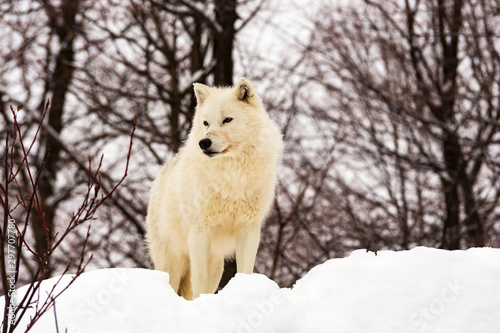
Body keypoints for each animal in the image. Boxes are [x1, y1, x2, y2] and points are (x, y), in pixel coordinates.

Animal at [146, 77, 284, 298]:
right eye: (206, 123)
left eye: (227, 119)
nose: (204, 142)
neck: (233, 175)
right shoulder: (200, 231)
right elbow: (199, 282)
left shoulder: (249, 229)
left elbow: (245, 270)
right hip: (172, 263)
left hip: (216, 264)